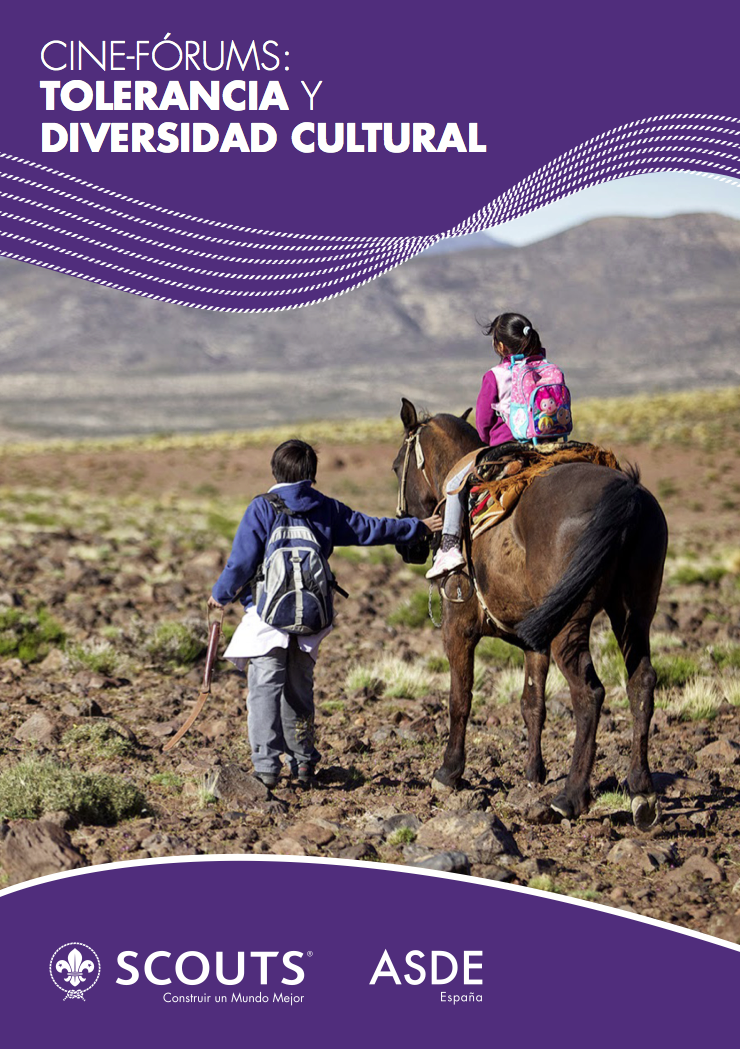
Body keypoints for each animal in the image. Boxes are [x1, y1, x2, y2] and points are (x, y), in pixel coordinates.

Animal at [394, 398, 667, 826]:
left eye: (396, 467)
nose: (409, 547)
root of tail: (627, 493)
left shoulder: (458, 629)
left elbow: (460, 698)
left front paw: (449, 772)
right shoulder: (533, 643)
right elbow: (532, 704)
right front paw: (532, 774)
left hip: (571, 626)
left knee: (589, 693)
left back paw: (571, 796)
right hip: (633, 614)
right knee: (641, 683)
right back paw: (642, 792)